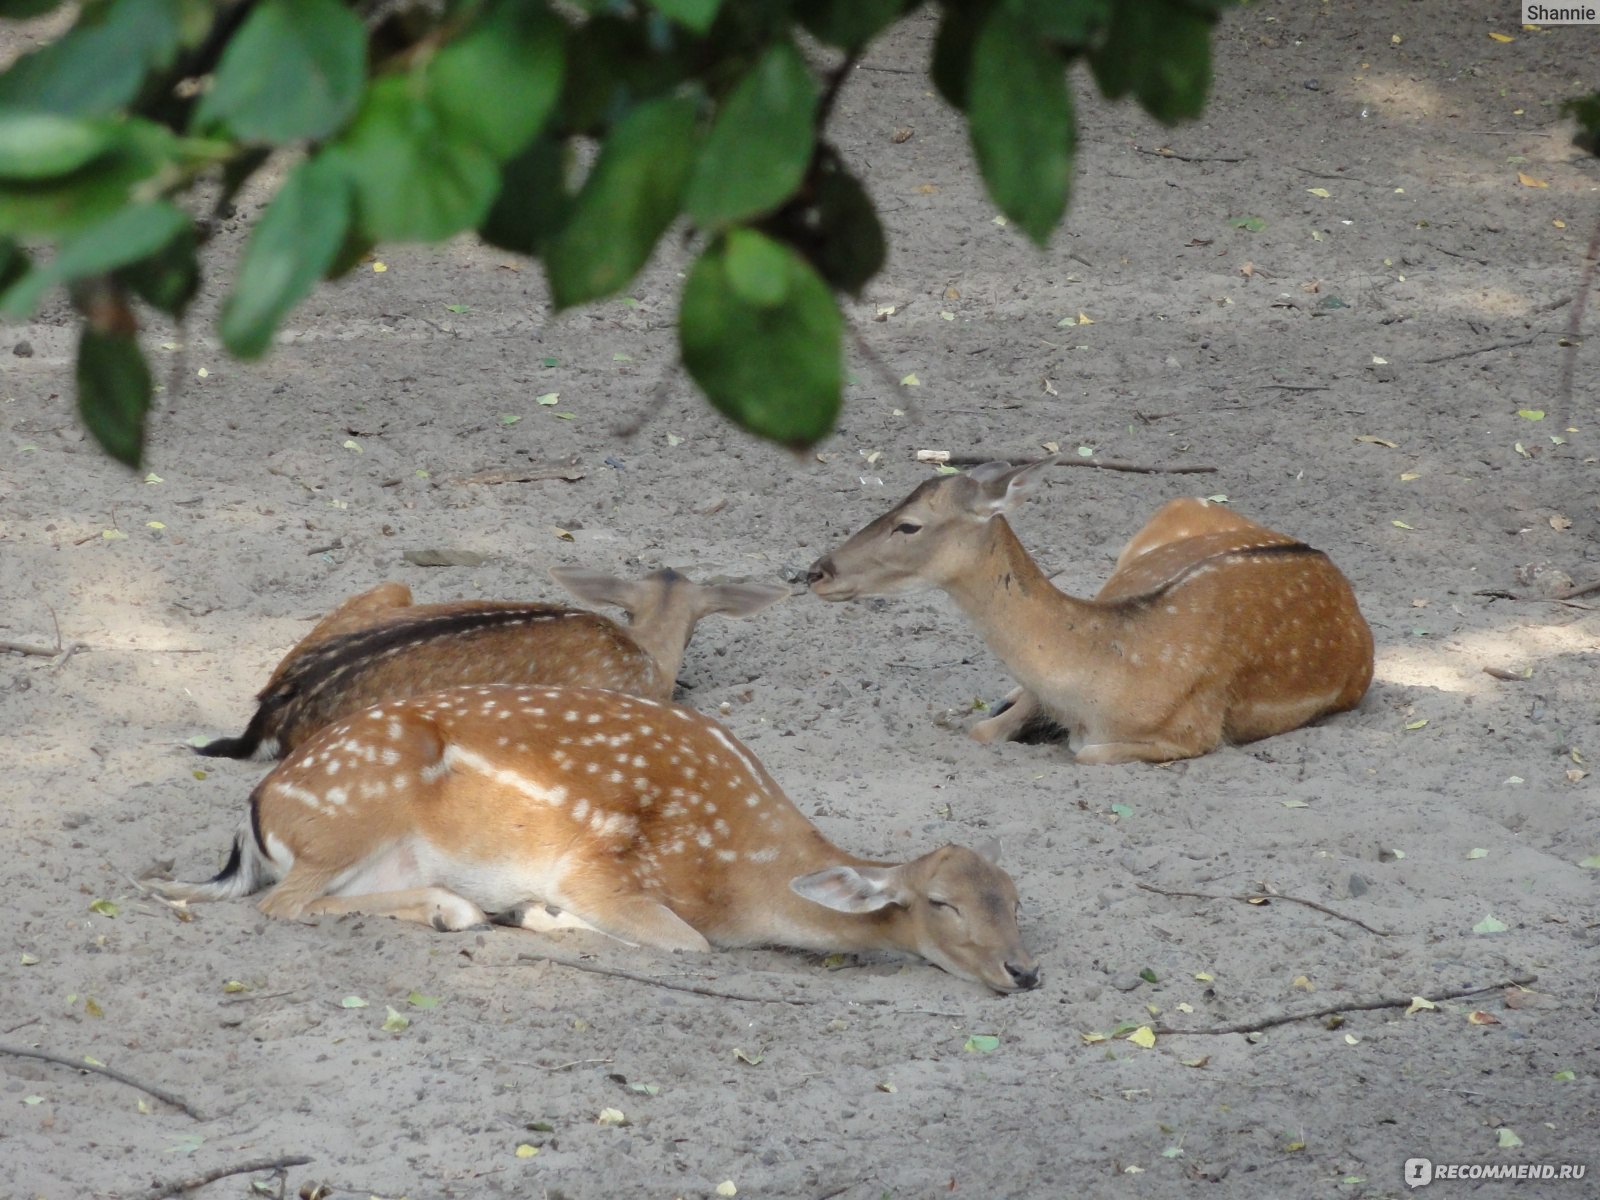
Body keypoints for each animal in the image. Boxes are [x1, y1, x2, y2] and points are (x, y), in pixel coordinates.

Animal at [159, 684, 1049, 998]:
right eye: (940, 903)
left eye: (1014, 898)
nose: (1025, 971)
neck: (740, 873)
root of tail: (261, 803)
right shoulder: (600, 868)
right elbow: (687, 943)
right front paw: (541, 915)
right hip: (351, 815)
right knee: (283, 904)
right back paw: (468, 910)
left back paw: (465, 909)